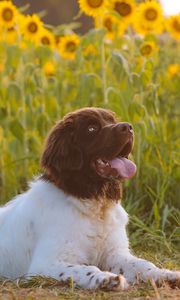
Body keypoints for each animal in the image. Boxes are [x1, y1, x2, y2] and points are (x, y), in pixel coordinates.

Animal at [0, 108, 179, 290]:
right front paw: (107, 279)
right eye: (91, 129)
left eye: (112, 121)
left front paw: (166, 275)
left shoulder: (115, 253)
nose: (128, 127)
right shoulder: (45, 264)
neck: (94, 204)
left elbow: (143, 264)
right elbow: (86, 269)